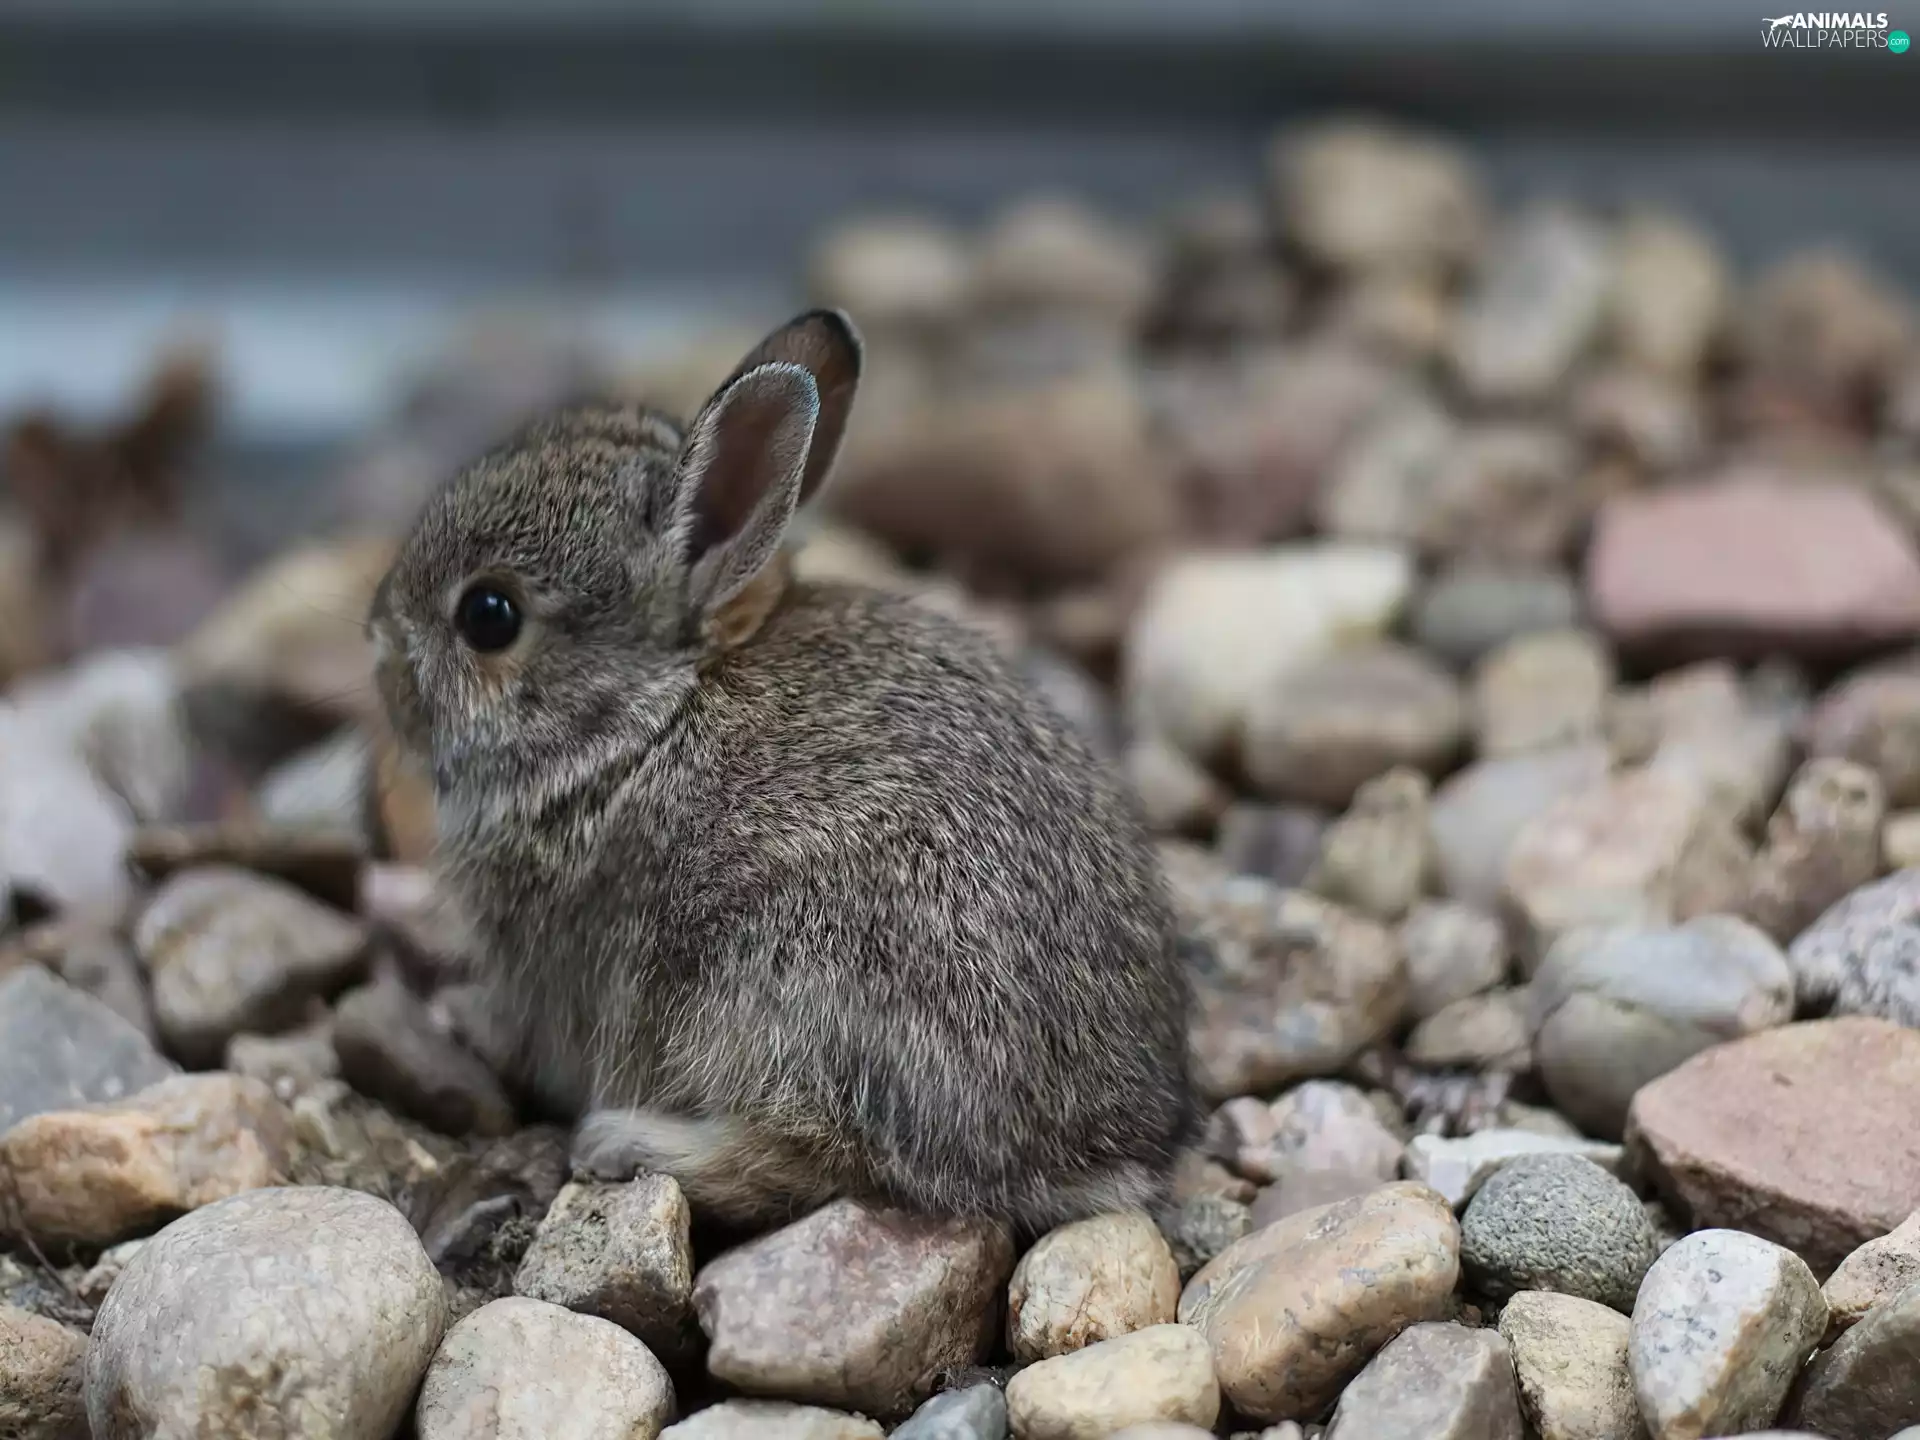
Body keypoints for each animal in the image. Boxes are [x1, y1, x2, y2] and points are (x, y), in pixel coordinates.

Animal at [370, 309, 1193, 1231]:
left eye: (489, 616)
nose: (374, 639)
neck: (638, 722)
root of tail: (1092, 1154)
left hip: (787, 981)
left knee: (807, 1157)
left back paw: (623, 1141)